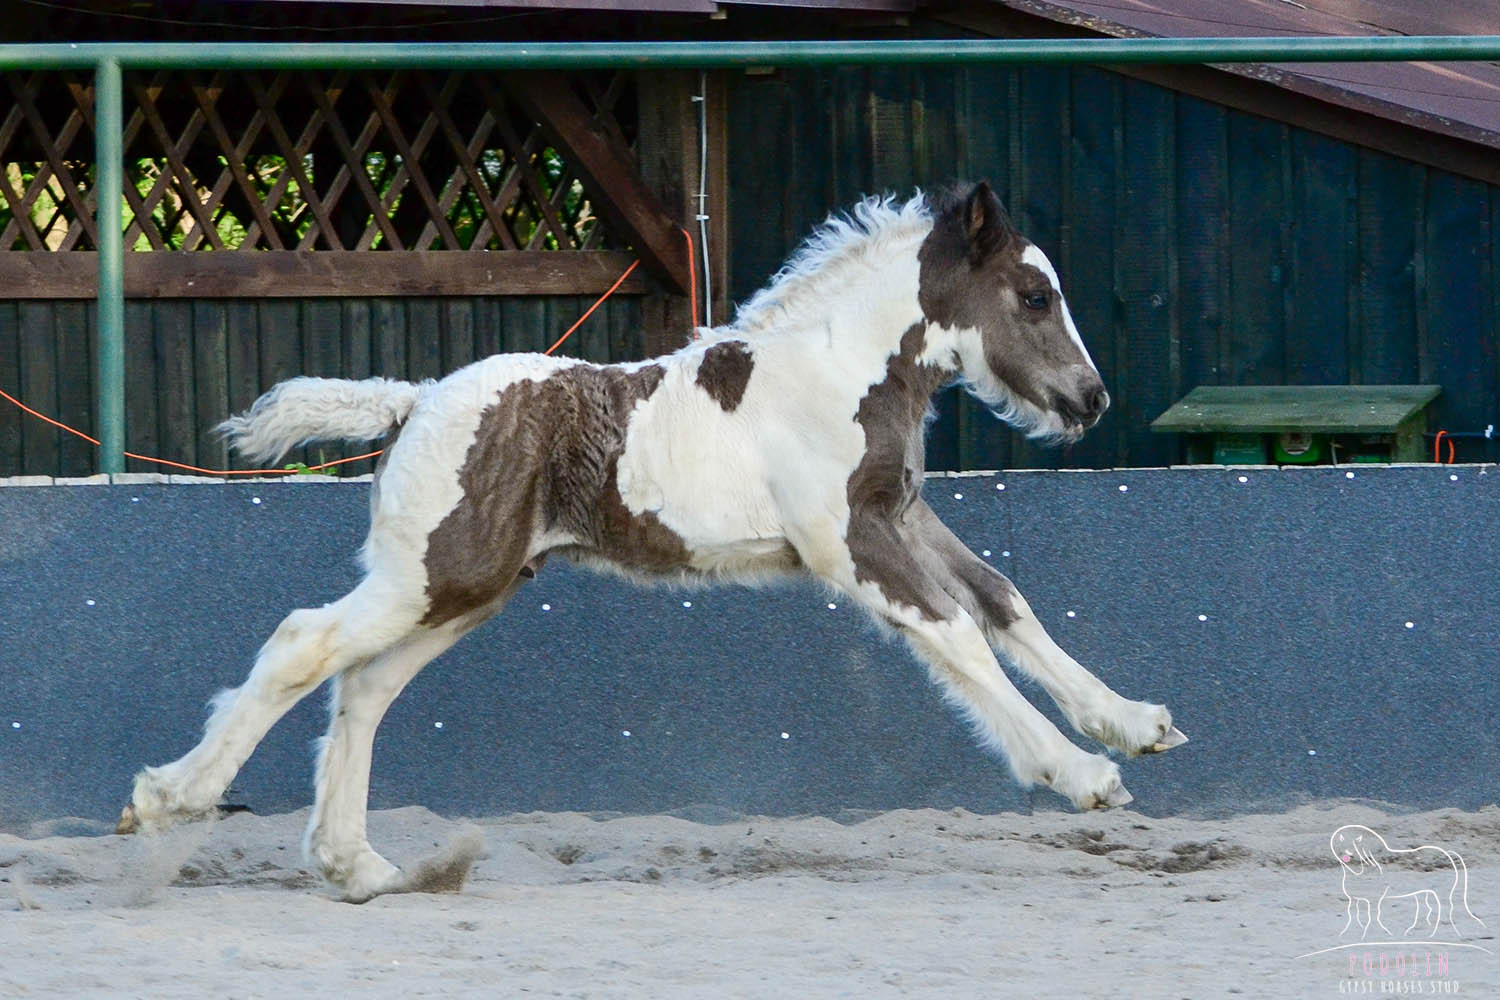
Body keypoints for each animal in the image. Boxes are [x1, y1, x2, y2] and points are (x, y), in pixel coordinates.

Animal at [120, 183, 1182, 905]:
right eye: (1034, 296)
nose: (1091, 400)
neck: (839, 373)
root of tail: (414, 400)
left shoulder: (902, 513)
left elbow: (1002, 601)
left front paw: (1132, 722)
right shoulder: (846, 541)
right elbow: (957, 635)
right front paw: (1079, 773)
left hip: (468, 587)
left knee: (367, 686)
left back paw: (360, 867)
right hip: (434, 575)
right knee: (306, 643)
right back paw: (167, 799)